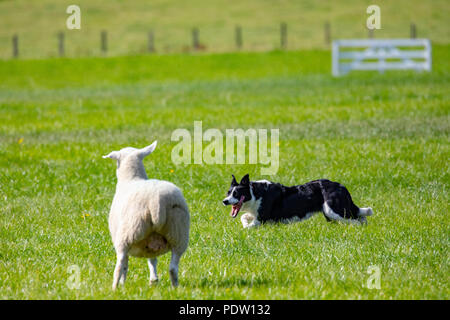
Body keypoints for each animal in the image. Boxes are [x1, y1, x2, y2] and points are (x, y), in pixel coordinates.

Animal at [103, 141, 190, 288]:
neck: (132, 178)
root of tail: (156, 201)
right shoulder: (150, 243)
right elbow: (152, 260)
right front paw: (153, 280)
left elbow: (125, 266)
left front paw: (122, 284)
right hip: (178, 233)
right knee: (173, 267)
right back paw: (175, 287)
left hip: (127, 234)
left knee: (119, 265)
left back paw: (114, 288)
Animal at [221, 175, 372, 228]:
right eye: (228, 192)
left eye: (236, 193)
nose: (224, 201)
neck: (255, 193)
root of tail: (341, 186)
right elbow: (243, 217)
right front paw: (245, 222)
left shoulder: (261, 219)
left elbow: (248, 226)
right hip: (331, 213)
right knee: (361, 218)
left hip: (333, 210)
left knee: (357, 221)